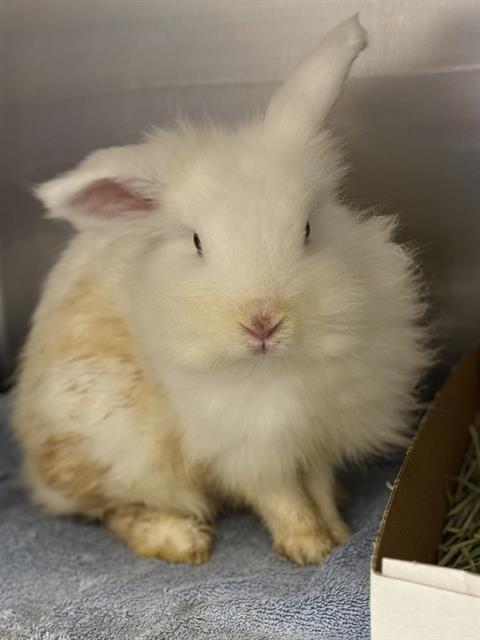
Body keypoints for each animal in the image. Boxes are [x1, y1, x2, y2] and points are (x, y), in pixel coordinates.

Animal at [12, 15, 430, 566]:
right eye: (196, 242)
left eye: (308, 229)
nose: (263, 323)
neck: (275, 369)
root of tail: (34, 469)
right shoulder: (247, 446)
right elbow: (281, 498)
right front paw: (308, 547)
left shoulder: (313, 433)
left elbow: (315, 484)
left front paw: (336, 534)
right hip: (115, 445)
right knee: (113, 509)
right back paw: (183, 541)